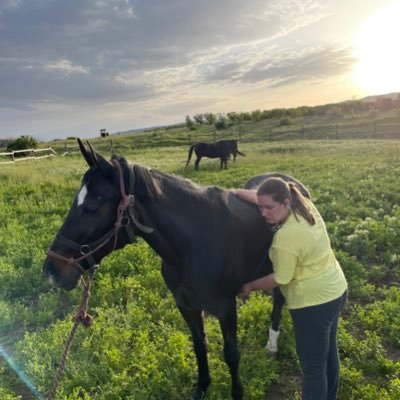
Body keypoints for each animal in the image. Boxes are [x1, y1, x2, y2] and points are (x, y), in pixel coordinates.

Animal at [42, 138, 308, 400]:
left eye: (92, 207)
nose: (52, 271)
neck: (191, 244)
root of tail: (290, 182)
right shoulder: (186, 305)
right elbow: (199, 346)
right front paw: (202, 387)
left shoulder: (225, 307)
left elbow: (231, 354)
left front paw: (237, 392)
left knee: (279, 300)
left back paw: (272, 345)